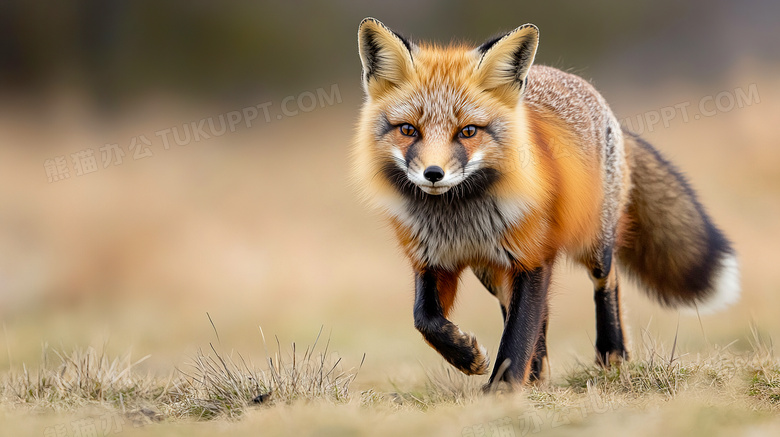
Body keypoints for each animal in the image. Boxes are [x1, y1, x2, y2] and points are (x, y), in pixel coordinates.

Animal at [350, 17, 740, 386]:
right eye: (408, 130)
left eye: (468, 131)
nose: (433, 174)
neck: (460, 221)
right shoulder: (432, 260)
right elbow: (426, 320)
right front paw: (467, 357)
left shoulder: (531, 258)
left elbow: (518, 334)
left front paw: (502, 391)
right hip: (492, 272)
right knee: (536, 313)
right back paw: (538, 374)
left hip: (593, 245)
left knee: (608, 281)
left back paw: (612, 354)